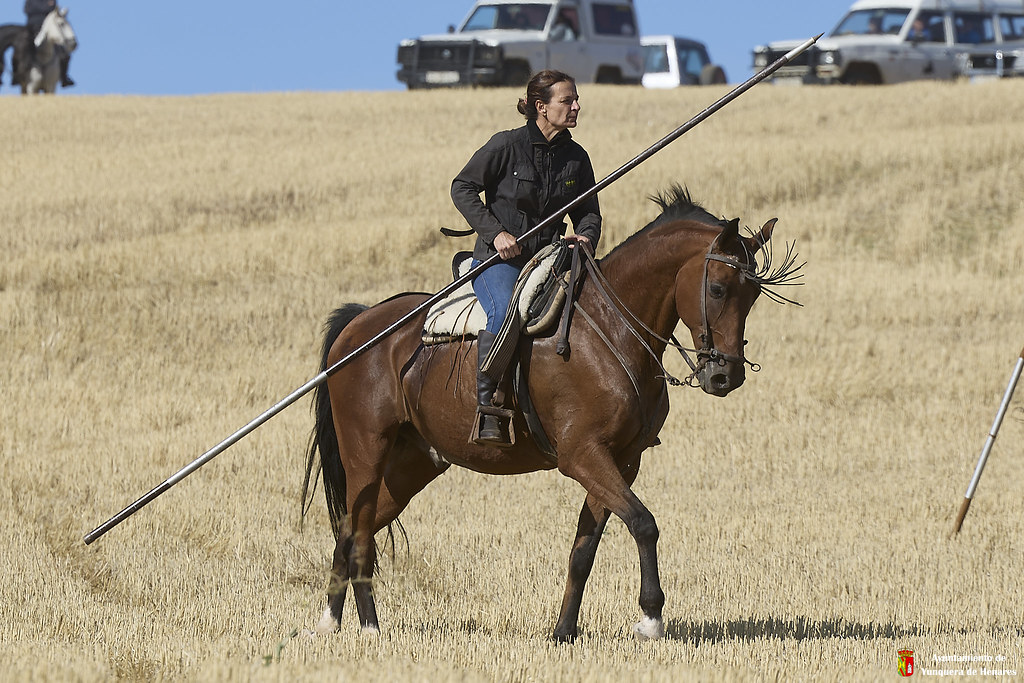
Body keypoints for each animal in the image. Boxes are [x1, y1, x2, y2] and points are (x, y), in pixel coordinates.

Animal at [301, 187, 798, 643]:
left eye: (754, 294)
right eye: (717, 288)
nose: (726, 376)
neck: (611, 326)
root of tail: (359, 324)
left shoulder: (621, 461)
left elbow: (584, 549)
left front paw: (563, 631)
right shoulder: (582, 456)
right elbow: (643, 523)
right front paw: (651, 618)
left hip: (414, 463)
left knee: (351, 529)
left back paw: (333, 622)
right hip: (366, 454)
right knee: (358, 530)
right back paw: (367, 627)